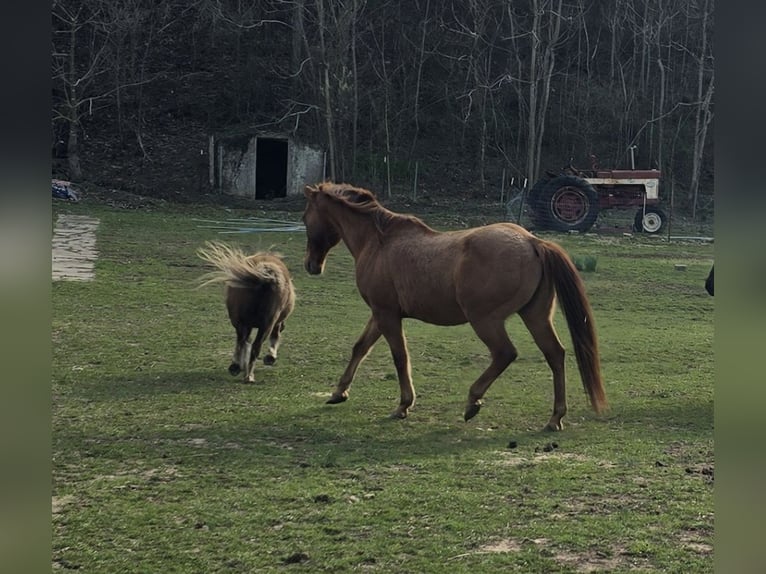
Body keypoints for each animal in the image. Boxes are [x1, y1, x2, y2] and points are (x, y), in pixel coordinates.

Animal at [196, 241, 296, 384]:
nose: (284, 326)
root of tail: (263, 278)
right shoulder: (272, 323)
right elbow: (274, 337)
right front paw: (270, 357)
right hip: (266, 324)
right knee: (254, 345)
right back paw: (248, 374)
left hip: (240, 321)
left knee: (241, 341)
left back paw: (237, 368)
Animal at [304, 184, 608, 432]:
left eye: (306, 218)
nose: (311, 266)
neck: (379, 242)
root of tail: (533, 241)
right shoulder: (380, 314)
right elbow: (360, 347)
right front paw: (339, 393)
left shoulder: (386, 314)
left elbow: (400, 357)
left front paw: (403, 405)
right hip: (535, 316)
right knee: (555, 355)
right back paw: (555, 418)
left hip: (485, 320)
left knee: (505, 353)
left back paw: (473, 402)